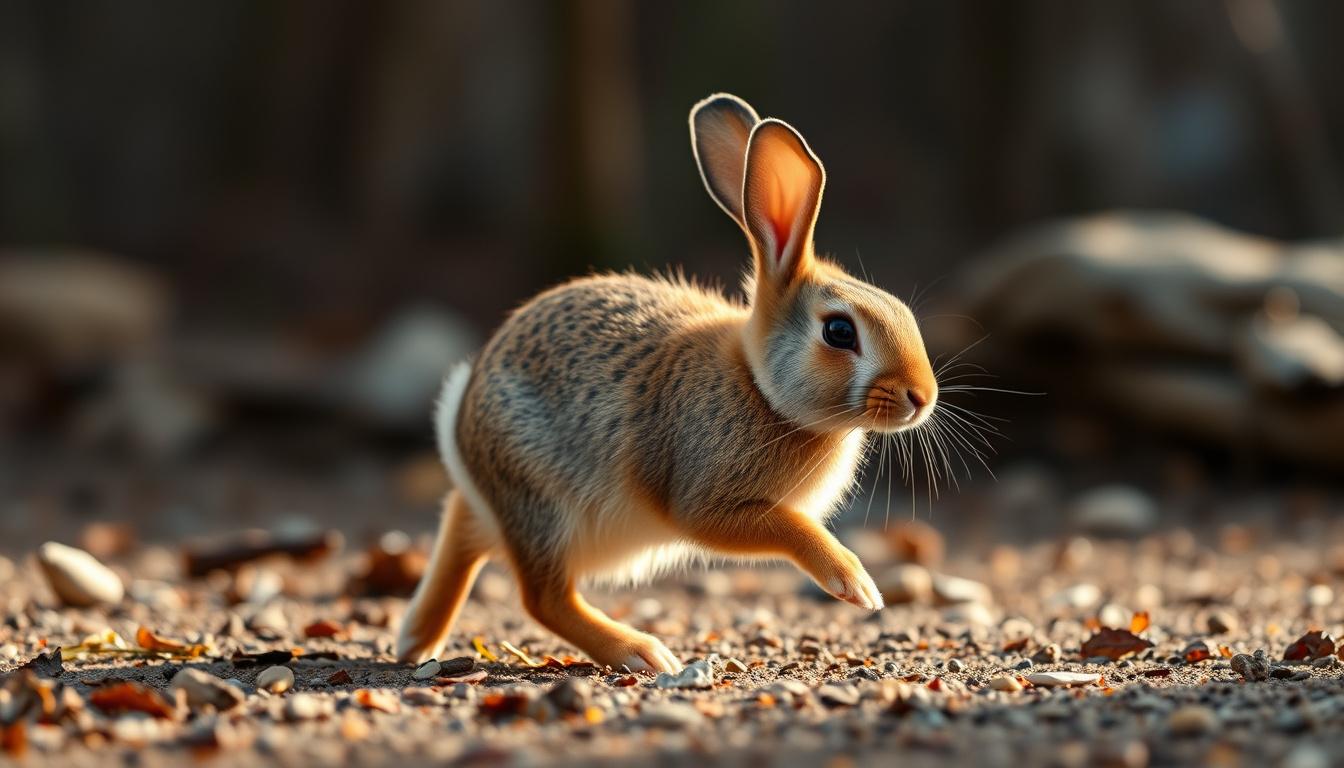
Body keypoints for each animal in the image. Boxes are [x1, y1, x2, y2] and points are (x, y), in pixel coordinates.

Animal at [396, 93, 938, 673]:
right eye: (839, 331)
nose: (922, 397)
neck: (760, 387)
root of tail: (463, 424)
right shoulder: (702, 504)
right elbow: (788, 528)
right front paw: (856, 584)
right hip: (545, 505)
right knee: (543, 597)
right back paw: (643, 653)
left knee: (463, 527)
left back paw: (416, 640)